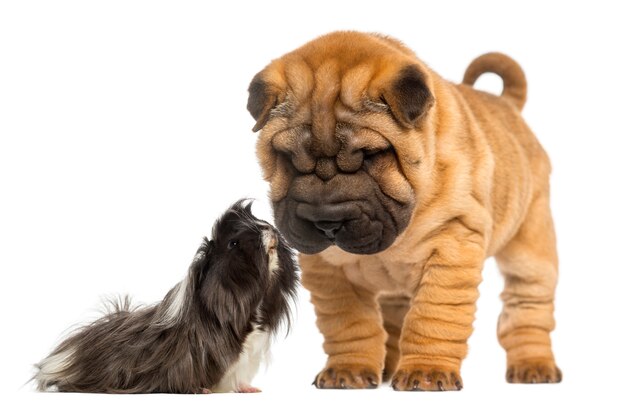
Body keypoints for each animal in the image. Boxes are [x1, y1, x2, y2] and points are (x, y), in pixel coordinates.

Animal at [245, 31, 560, 392]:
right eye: (288, 158)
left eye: (371, 155)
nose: (326, 223)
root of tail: (507, 105)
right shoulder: (328, 270)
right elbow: (349, 323)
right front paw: (349, 369)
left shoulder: (452, 246)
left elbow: (433, 316)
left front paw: (427, 370)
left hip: (530, 248)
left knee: (527, 309)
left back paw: (533, 365)